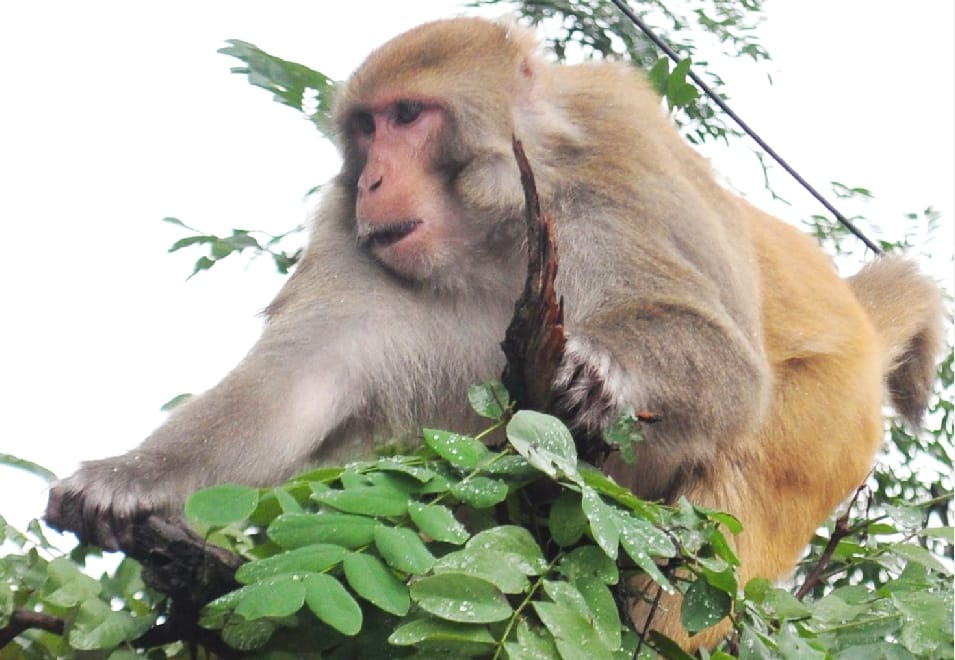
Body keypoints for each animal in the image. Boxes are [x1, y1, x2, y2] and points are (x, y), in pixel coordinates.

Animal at [46, 17, 945, 650]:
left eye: (409, 116)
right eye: (366, 129)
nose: (372, 180)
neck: (496, 230)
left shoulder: (618, 152)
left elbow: (730, 364)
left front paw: (605, 372)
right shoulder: (351, 240)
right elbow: (299, 386)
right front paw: (128, 481)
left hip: (824, 426)